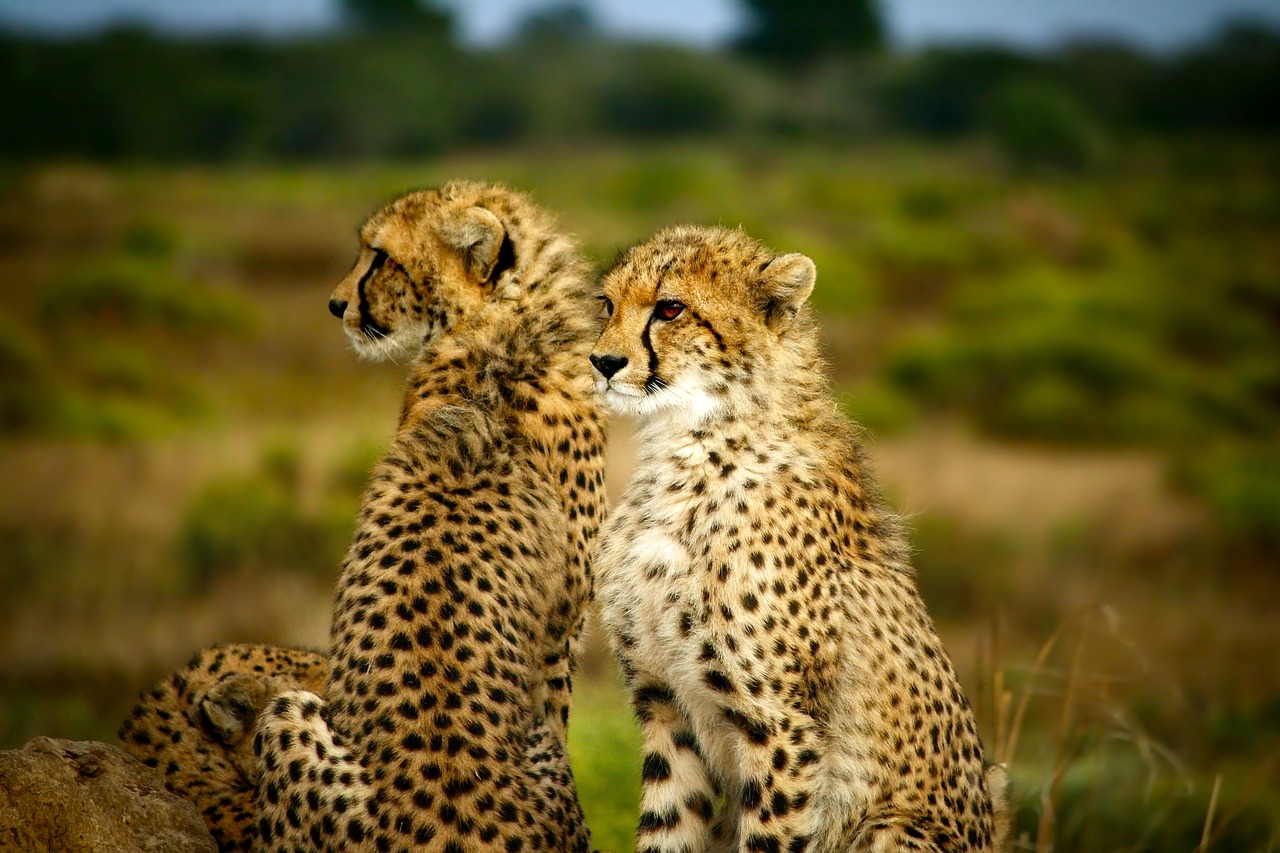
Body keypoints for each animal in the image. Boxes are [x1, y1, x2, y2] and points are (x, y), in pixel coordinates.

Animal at [588, 225, 1008, 850]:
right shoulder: (665, 707)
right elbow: (668, 829)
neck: (688, 445)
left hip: (892, 828)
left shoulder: (783, 727)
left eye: (670, 309)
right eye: (607, 304)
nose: (603, 361)